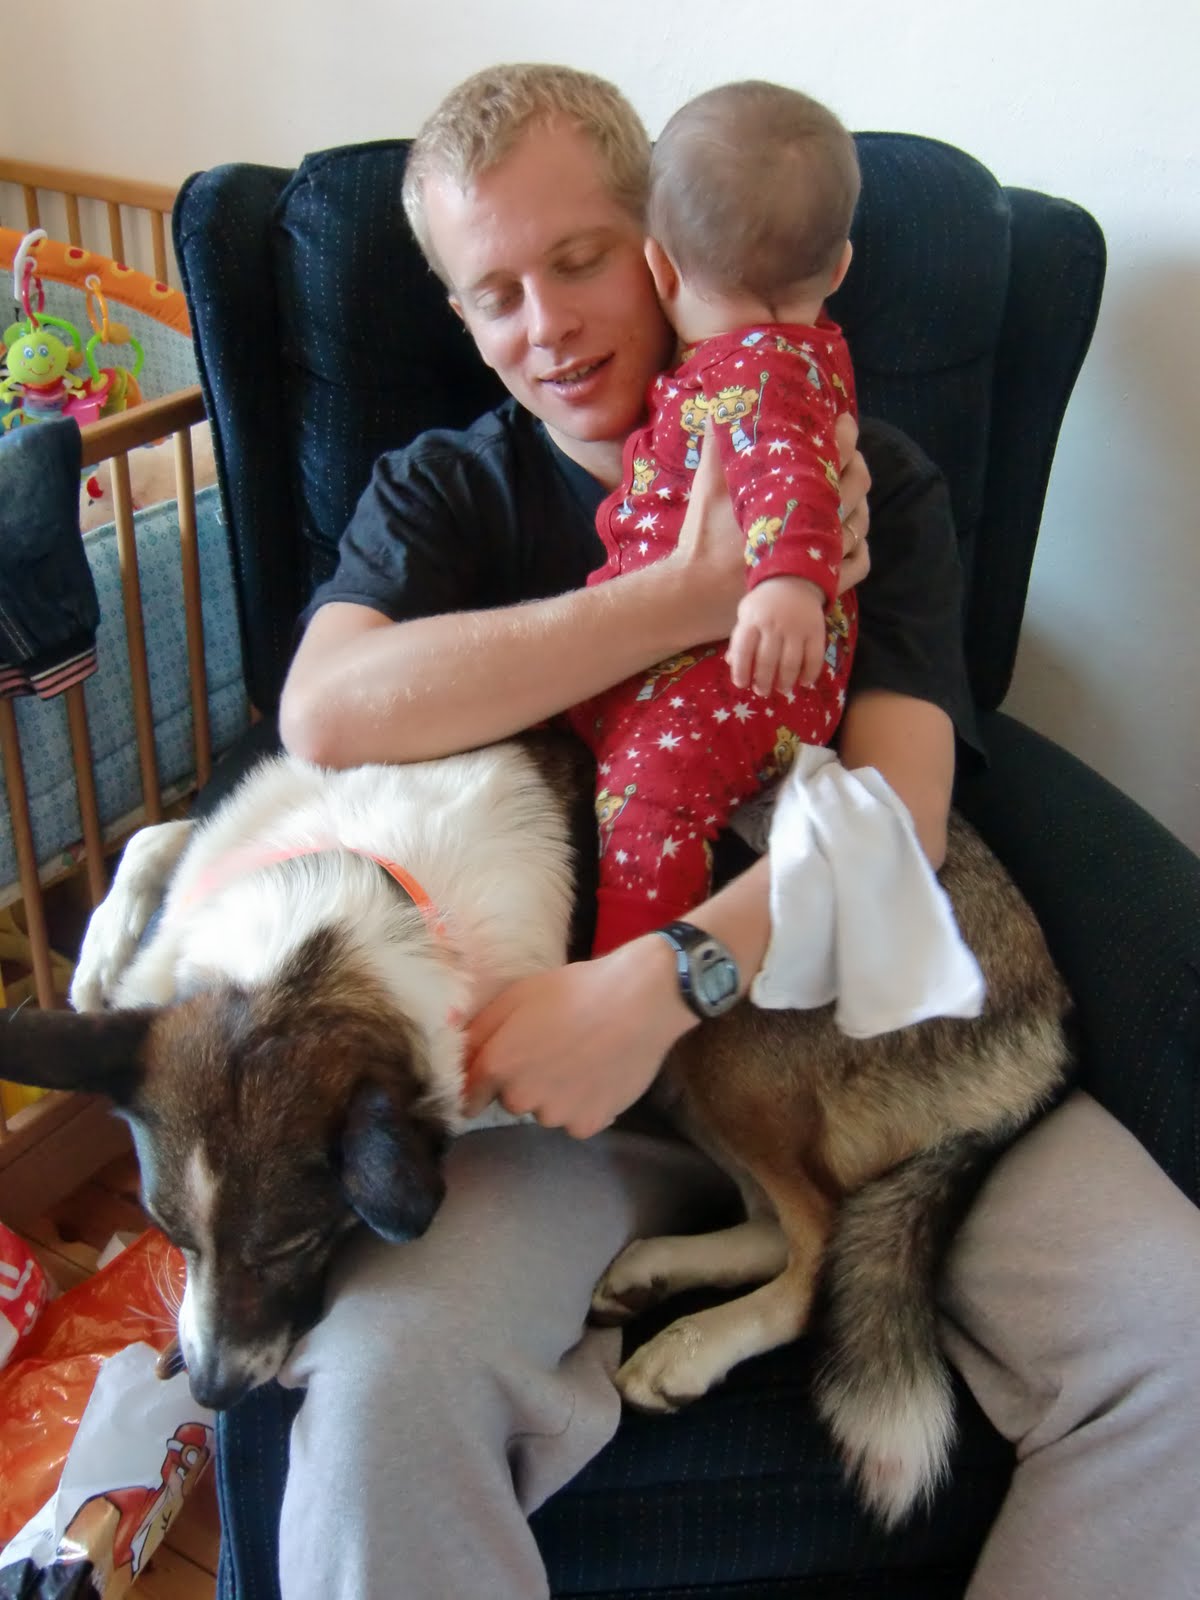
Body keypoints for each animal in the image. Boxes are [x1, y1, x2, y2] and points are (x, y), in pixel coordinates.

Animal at [0, 734, 1069, 1527]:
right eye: (172, 1238)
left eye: (296, 1245)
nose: (214, 1395)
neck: (349, 901)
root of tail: (1048, 1024)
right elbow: (157, 835)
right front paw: (96, 959)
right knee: (777, 1221)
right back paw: (657, 1272)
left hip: (716, 1043)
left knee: (819, 1240)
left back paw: (696, 1345)